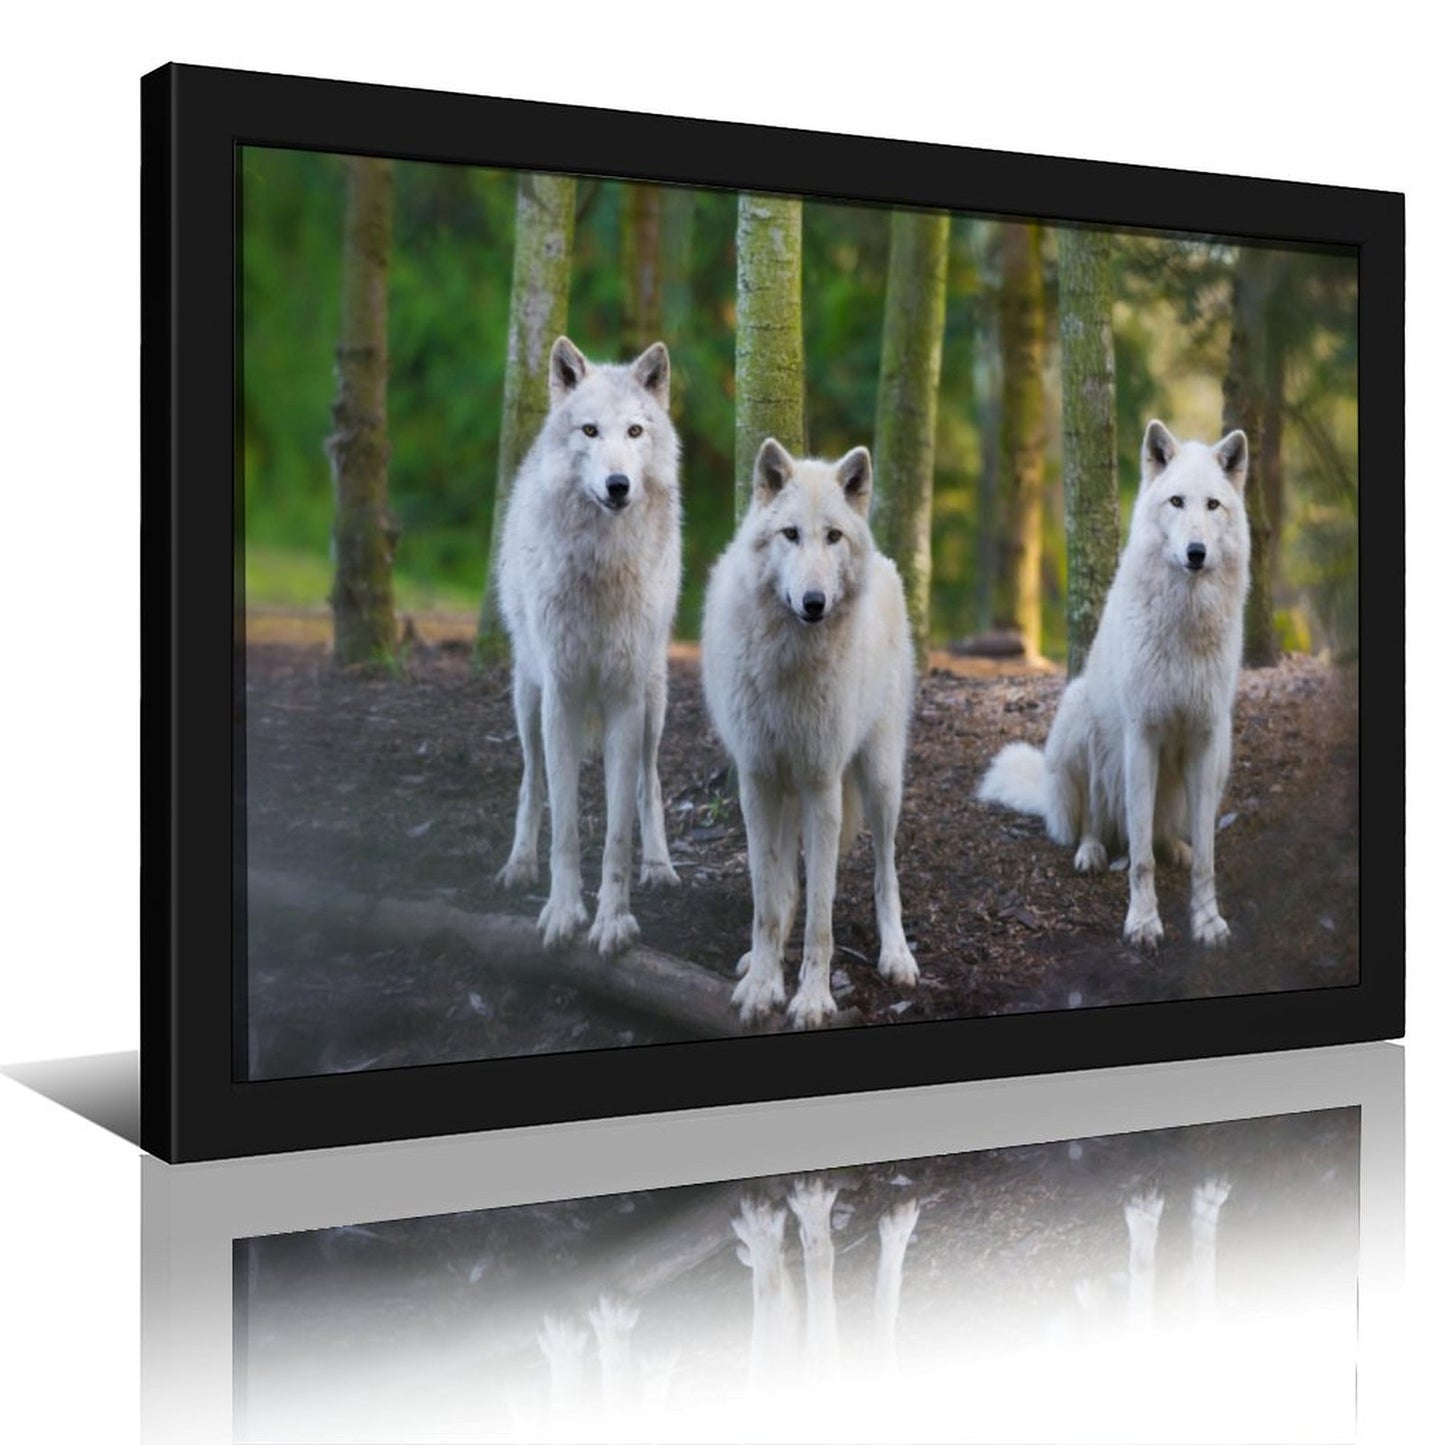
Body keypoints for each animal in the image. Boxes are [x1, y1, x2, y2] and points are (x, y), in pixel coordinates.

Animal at [495, 336, 681, 955]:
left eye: (635, 431)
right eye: (591, 431)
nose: (618, 485)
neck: (603, 566)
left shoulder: (624, 701)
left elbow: (618, 831)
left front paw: (613, 922)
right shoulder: (563, 695)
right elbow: (568, 827)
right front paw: (561, 912)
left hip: (654, 706)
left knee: (650, 782)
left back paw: (661, 866)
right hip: (528, 701)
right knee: (531, 781)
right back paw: (518, 865)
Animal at [701, 438, 919, 1028]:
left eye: (833, 537)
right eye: (791, 534)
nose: (814, 602)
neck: (789, 659)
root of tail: (886, 563)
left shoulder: (822, 786)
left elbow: (821, 916)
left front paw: (813, 998)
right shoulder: (757, 781)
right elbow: (767, 904)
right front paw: (761, 986)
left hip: (880, 779)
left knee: (886, 874)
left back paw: (898, 956)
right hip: (786, 794)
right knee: (784, 890)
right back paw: (762, 961)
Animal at [977, 420, 1250, 950]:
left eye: (1212, 505)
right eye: (1177, 502)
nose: (1196, 553)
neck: (1184, 623)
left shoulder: (1206, 740)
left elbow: (1207, 860)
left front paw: (1207, 922)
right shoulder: (1142, 737)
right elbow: (1140, 861)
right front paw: (1142, 924)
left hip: (1222, 756)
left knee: (1166, 836)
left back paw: (1177, 847)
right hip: (1080, 723)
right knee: (1095, 823)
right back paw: (1091, 853)